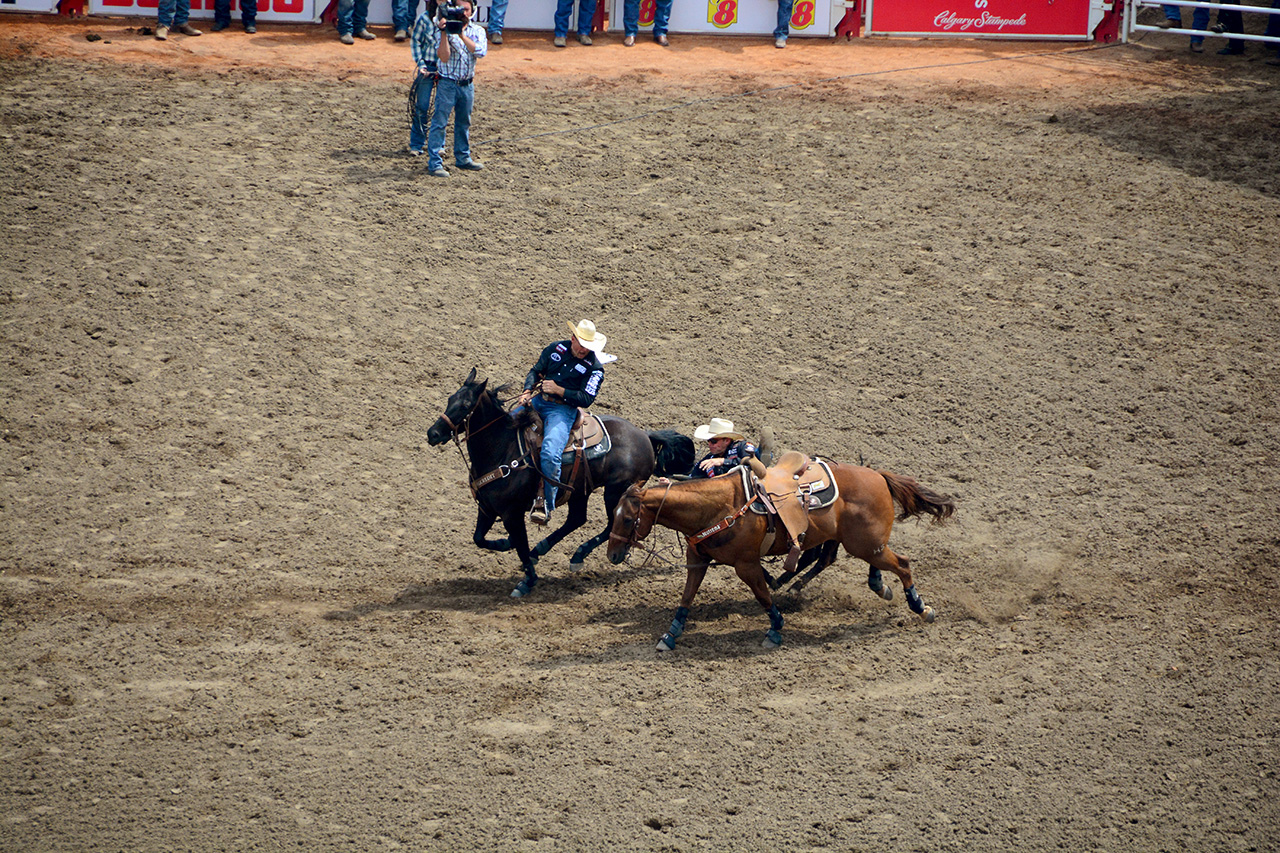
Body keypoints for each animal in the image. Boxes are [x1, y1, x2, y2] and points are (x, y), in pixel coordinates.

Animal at [427, 366, 691, 596]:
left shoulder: (511, 513)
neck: (502, 449)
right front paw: (506, 542)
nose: (433, 433)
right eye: (450, 398)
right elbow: (480, 539)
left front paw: (527, 581)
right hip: (580, 490)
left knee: (611, 525)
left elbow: (520, 546)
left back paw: (580, 555)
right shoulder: (487, 508)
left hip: (615, 491)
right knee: (577, 519)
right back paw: (546, 550)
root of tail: (645, 436)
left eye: (466, 405)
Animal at [604, 461, 957, 648]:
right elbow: (687, 597)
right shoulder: (698, 560)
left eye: (627, 518)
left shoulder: (746, 565)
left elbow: (762, 596)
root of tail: (878, 476)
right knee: (860, 562)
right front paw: (670, 635)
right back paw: (878, 586)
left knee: (903, 564)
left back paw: (921, 608)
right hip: (861, 543)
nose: (612, 554)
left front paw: (774, 629)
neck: (719, 507)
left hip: (864, 543)